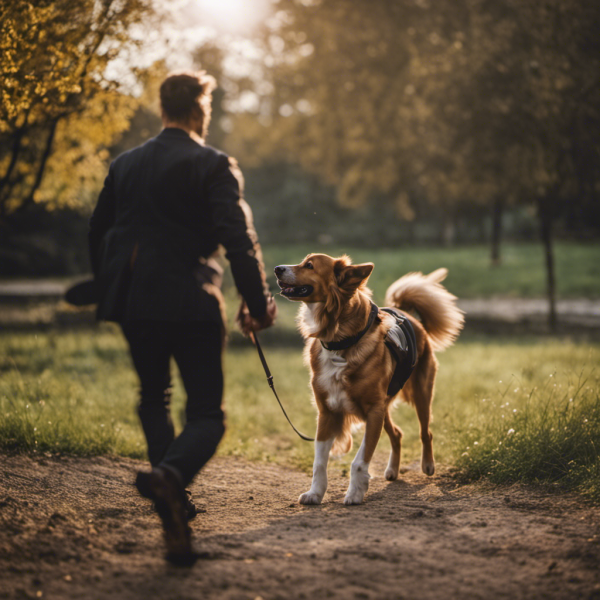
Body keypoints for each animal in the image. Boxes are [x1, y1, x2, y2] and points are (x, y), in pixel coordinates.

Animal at [274, 254, 464, 506]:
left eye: (309, 265)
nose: (276, 268)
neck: (339, 340)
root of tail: (409, 316)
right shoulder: (327, 413)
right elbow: (319, 463)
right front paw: (315, 493)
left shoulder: (373, 411)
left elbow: (359, 461)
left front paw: (355, 493)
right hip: (384, 409)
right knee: (397, 434)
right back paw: (392, 470)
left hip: (420, 395)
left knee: (426, 432)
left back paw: (427, 465)